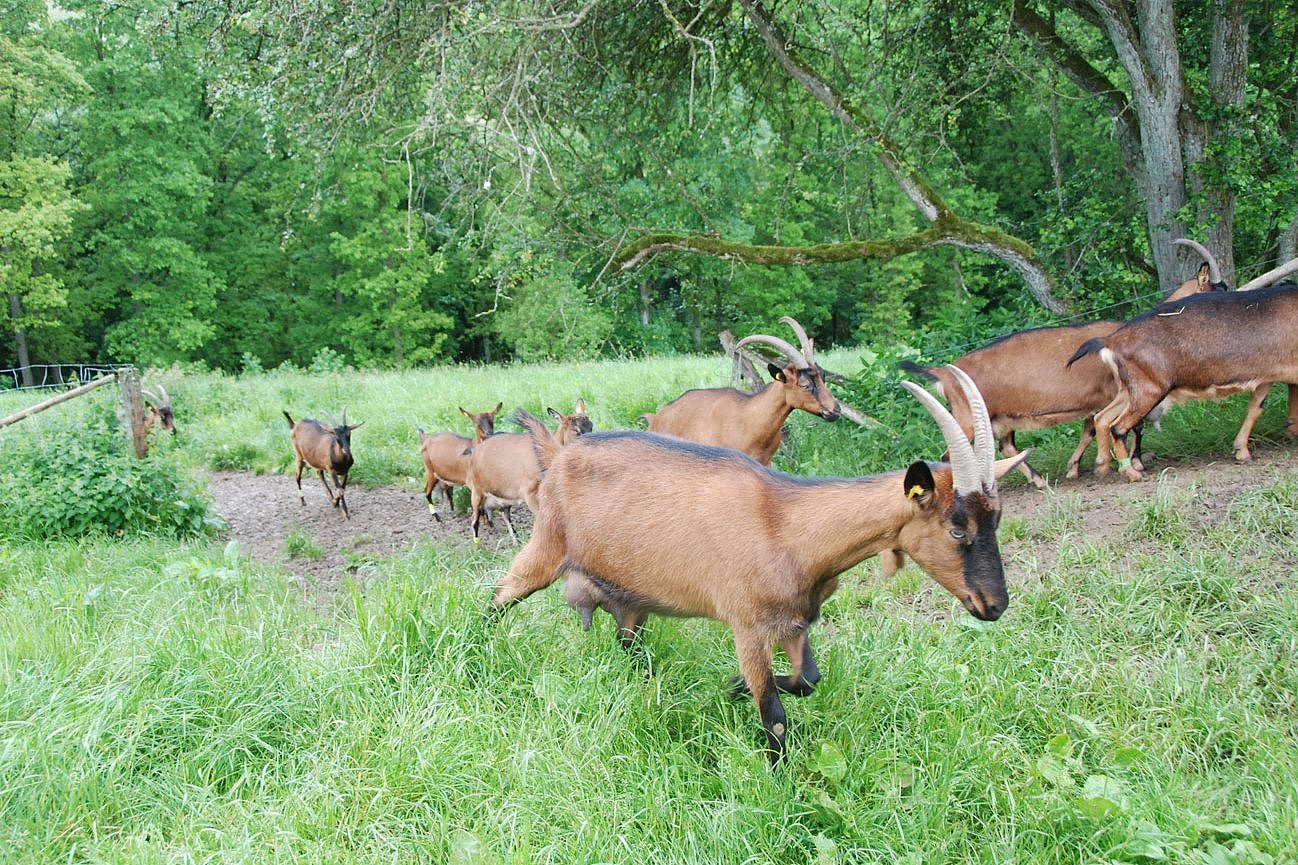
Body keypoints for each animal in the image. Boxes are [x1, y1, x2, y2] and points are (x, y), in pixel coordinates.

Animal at [464, 400, 591, 540]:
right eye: (575, 430)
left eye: (591, 425)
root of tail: (474, 452)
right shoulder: (528, 492)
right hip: (477, 493)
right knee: (474, 521)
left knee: (505, 515)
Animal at [490, 366, 1028, 758]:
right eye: (957, 528)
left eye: (997, 519)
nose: (995, 605)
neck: (788, 526)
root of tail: (557, 455)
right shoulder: (748, 626)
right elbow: (774, 714)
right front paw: (783, 782)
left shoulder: (795, 621)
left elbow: (808, 681)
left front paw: (730, 687)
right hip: (546, 546)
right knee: (501, 595)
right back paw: (481, 655)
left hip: (631, 595)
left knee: (628, 642)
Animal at [1069, 283, 1298, 480]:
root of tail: (1110, 341)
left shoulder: (1267, 376)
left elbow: (1256, 408)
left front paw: (1243, 450)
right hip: (1150, 389)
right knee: (1118, 427)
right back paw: (1131, 473)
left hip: (1130, 389)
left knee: (1102, 418)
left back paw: (1102, 467)